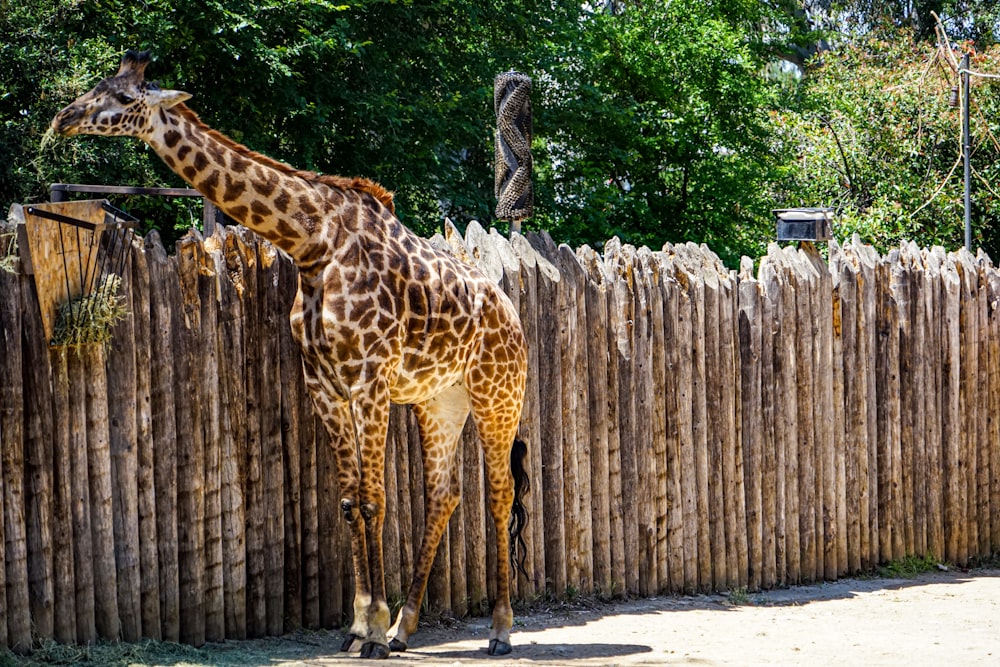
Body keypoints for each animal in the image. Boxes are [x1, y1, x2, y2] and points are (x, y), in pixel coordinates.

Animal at [51, 51, 532, 656]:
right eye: (98, 84)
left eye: (120, 97)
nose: (63, 118)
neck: (312, 244)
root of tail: (512, 314)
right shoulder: (324, 384)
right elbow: (350, 502)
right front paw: (361, 627)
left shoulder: (368, 380)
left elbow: (374, 500)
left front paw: (372, 632)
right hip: (439, 401)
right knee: (443, 494)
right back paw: (405, 629)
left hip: (498, 395)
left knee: (499, 492)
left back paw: (499, 630)